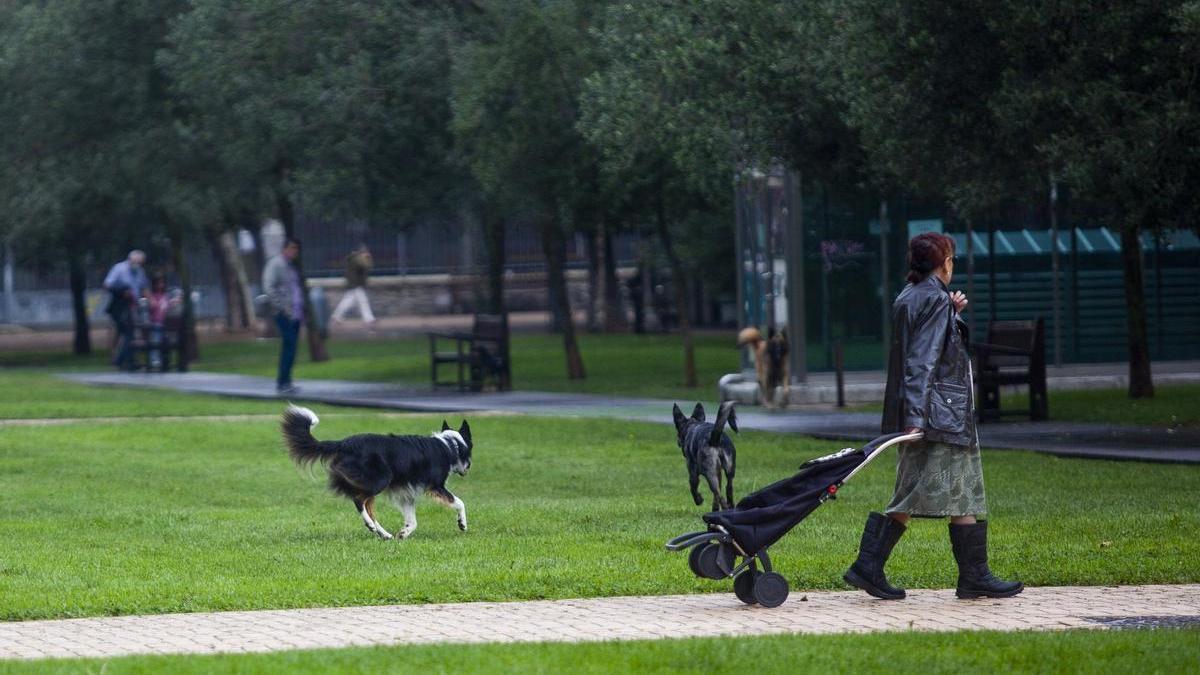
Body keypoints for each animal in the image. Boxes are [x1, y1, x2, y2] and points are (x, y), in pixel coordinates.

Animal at [282, 401, 472, 538]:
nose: (467, 468)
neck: (450, 445)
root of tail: (344, 443)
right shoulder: (436, 486)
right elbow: (460, 502)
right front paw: (462, 524)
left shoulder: (406, 492)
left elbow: (412, 520)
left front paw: (403, 533)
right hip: (380, 479)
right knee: (359, 501)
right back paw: (371, 525)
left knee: (368, 508)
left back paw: (382, 533)